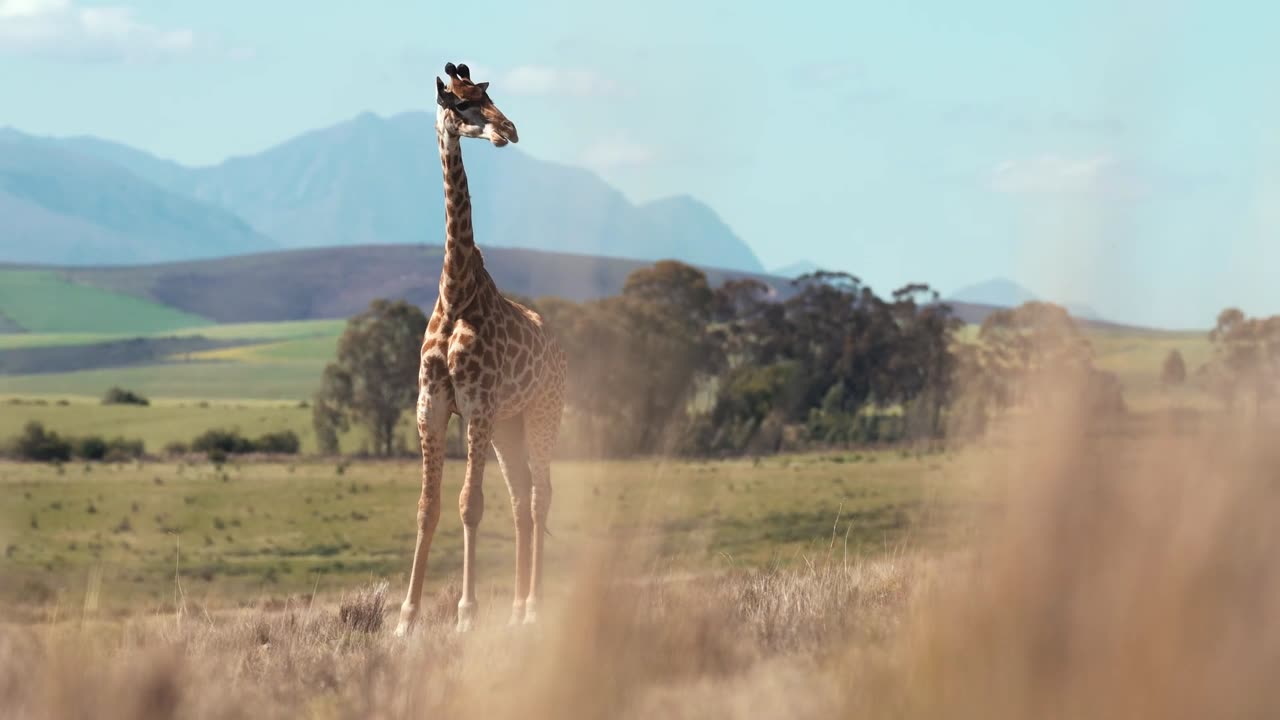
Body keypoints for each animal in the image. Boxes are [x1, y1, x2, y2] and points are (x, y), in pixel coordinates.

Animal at [391, 61, 568, 632]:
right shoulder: (431, 406)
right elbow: (428, 507)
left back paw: (533, 607)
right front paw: (406, 616)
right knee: (519, 498)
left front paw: (466, 613)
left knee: (539, 496)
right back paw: (514, 608)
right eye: (461, 103)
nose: (509, 129)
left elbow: (470, 504)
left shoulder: (477, 405)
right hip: (508, 426)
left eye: (488, 96)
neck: (456, 292)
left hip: (541, 412)